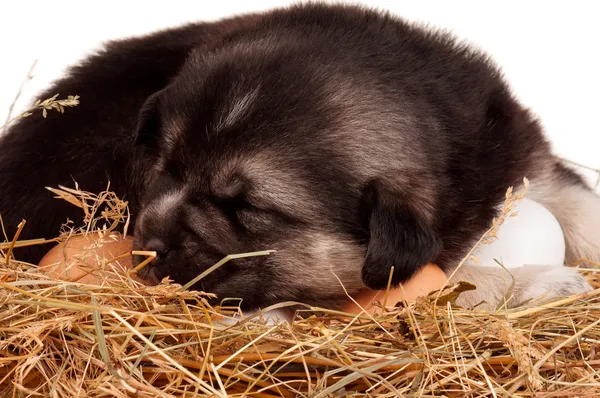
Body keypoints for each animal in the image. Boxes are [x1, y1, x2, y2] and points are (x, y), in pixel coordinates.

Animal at [0, 3, 596, 310]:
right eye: (164, 169)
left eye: (246, 209)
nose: (147, 247)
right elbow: (448, 281)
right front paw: (541, 282)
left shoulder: (524, 159)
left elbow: (579, 205)